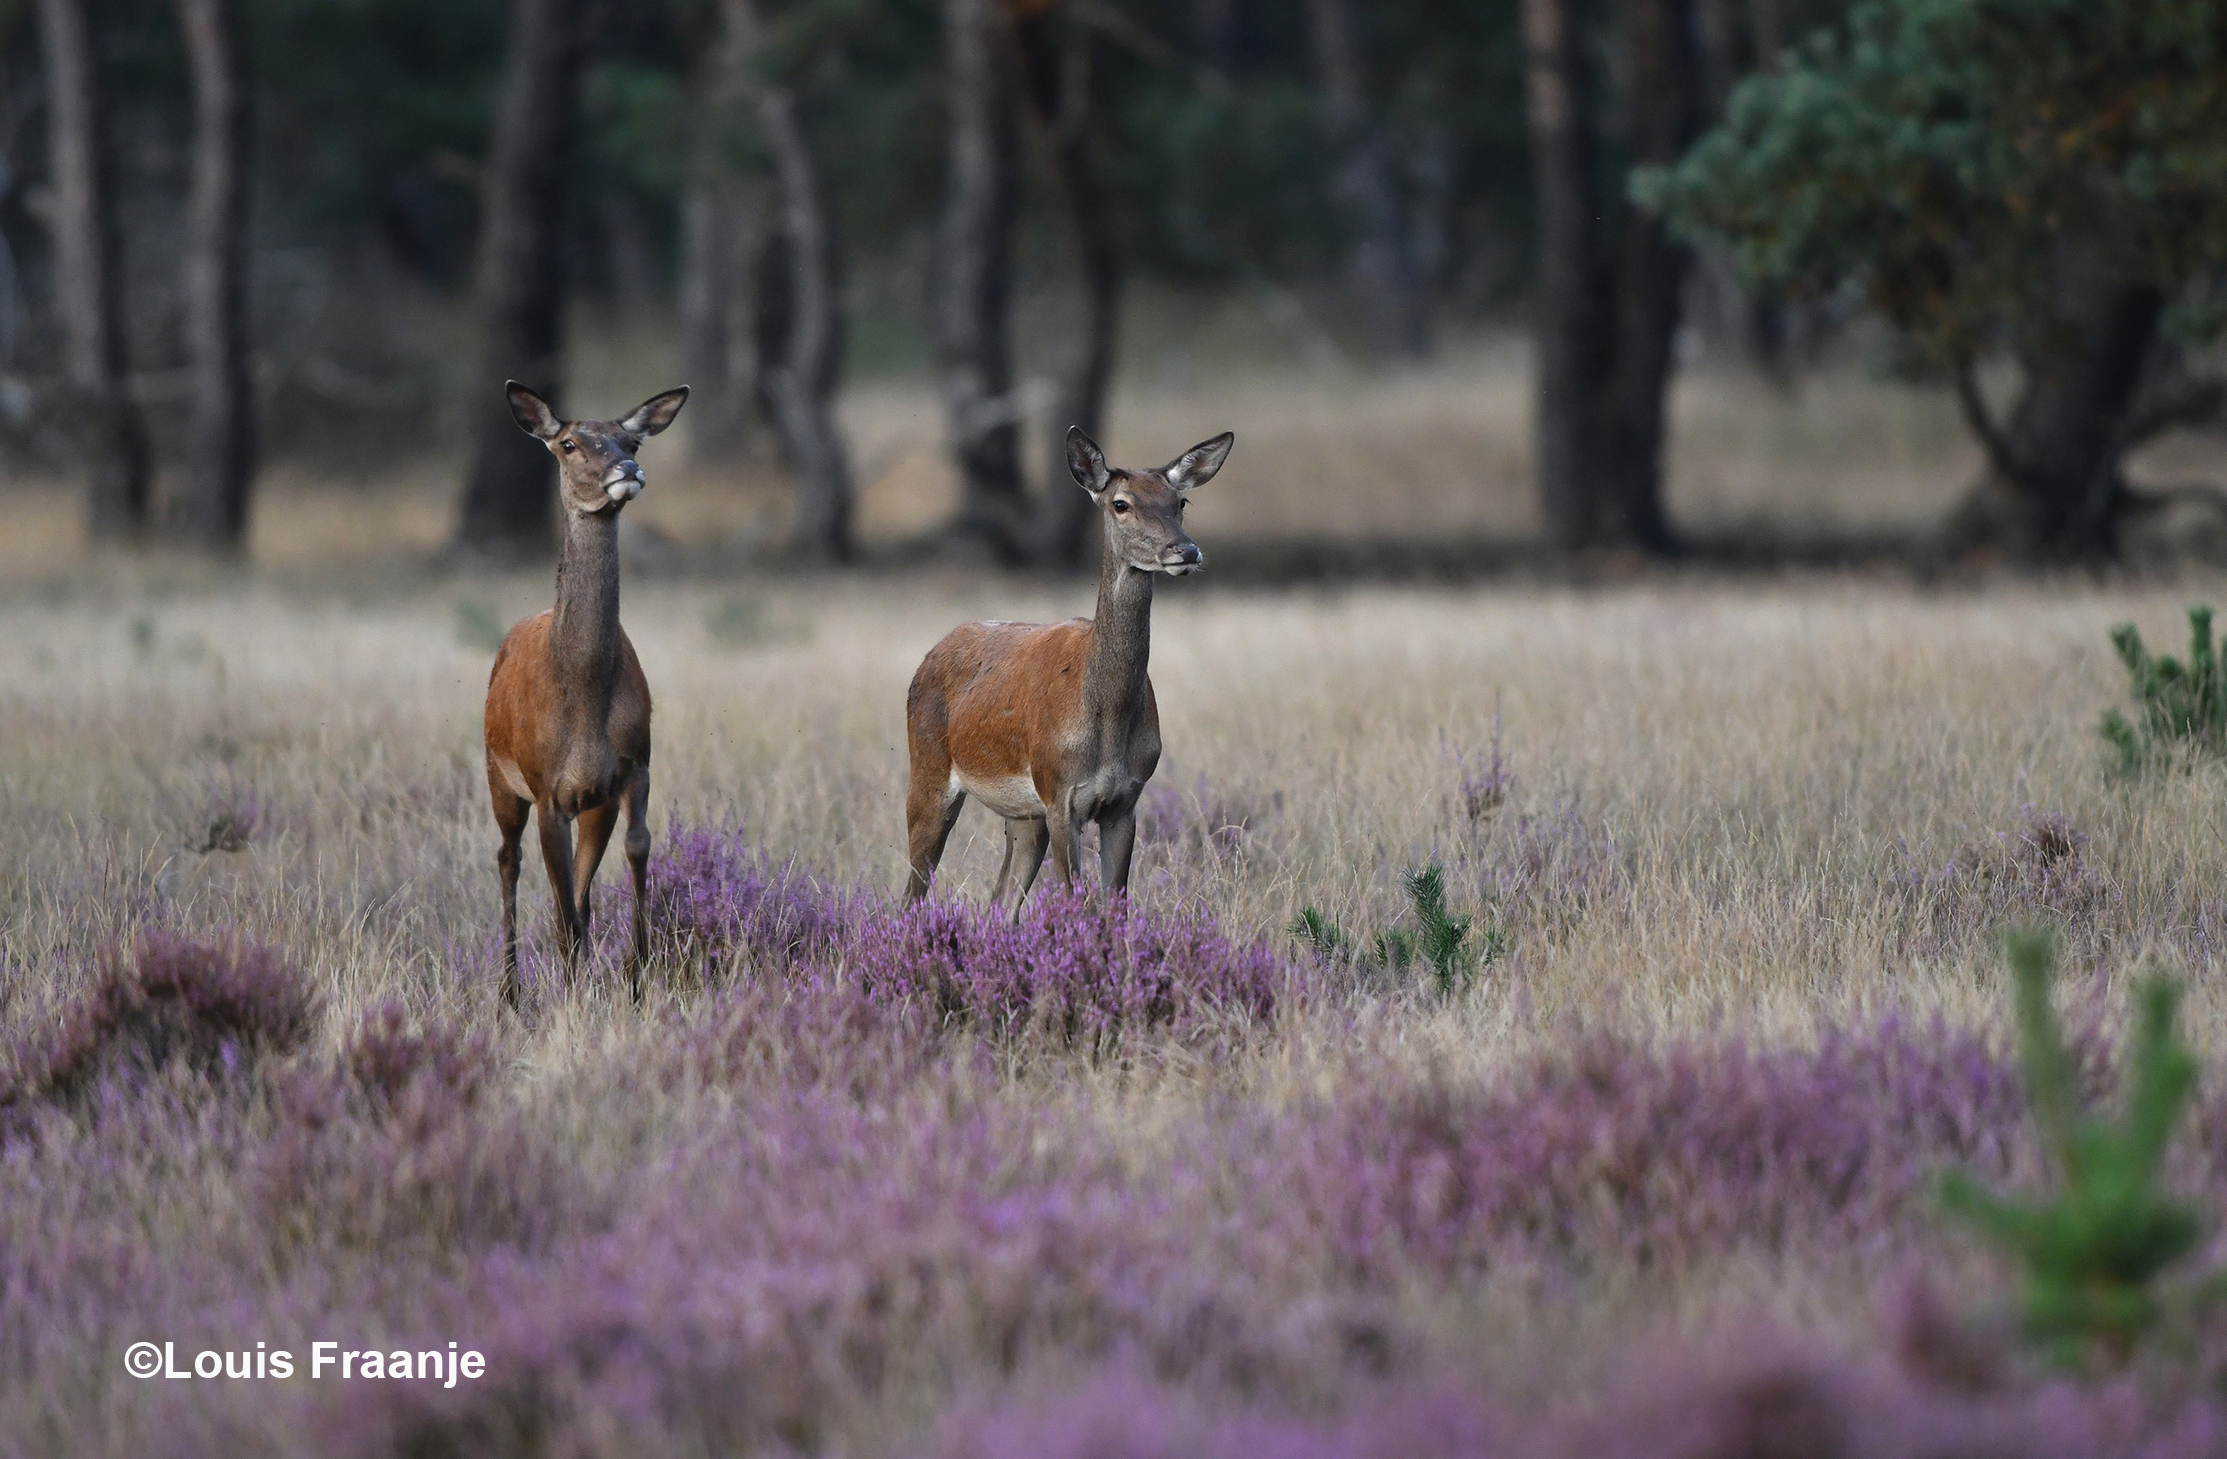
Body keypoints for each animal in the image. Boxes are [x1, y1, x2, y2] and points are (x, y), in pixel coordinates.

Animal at [485, 376, 685, 1006]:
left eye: (633, 441)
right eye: (569, 444)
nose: (628, 468)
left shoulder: (632, 767)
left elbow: (635, 851)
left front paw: (635, 974)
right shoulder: (546, 785)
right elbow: (558, 900)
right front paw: (574, 989)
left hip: (590, 802)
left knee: (580, 889)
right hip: (498, 774)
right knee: (509, 860)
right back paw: (510, 992)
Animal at [899, 423, 1238, 913]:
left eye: (1181, 502)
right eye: (1121, 503)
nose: (1186, 550)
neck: (1105, 720)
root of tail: (931, 653)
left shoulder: (1125, 801)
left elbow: (1114, 905)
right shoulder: (1061, 795)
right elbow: (1077, 903)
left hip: (1024, 816)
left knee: (1000, 903)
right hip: (927, 772)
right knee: (912, 892)